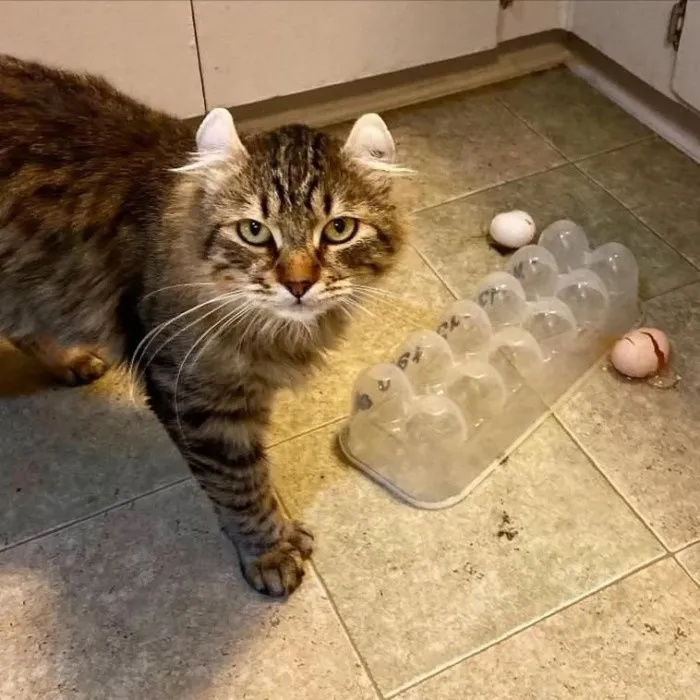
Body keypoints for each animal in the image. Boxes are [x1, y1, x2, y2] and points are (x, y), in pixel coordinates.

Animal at [0, 55, 408, 597]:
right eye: (254, 231)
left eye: (339, 230)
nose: (299, 284)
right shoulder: (197, 399)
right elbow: (240, 487)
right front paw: (269, 552)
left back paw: (70, 360)